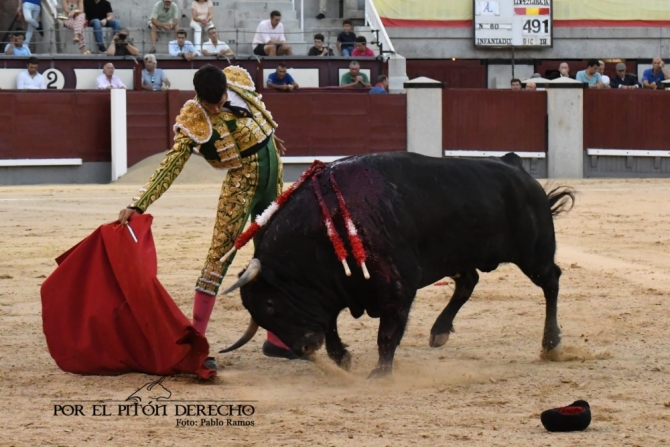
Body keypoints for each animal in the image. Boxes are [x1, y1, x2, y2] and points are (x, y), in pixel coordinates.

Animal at [222, 151, 576, 378]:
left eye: (271, 304)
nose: (304, 348)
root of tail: (514, 166)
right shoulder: (335, 291)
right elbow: (331, 325)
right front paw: (344, 358)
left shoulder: (396, 287)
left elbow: (388, 332)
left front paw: (380, 373)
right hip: (457, 255)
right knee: (468, 281)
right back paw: (439, 331)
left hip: (533, 252)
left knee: (551, 281)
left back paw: (551, 344)